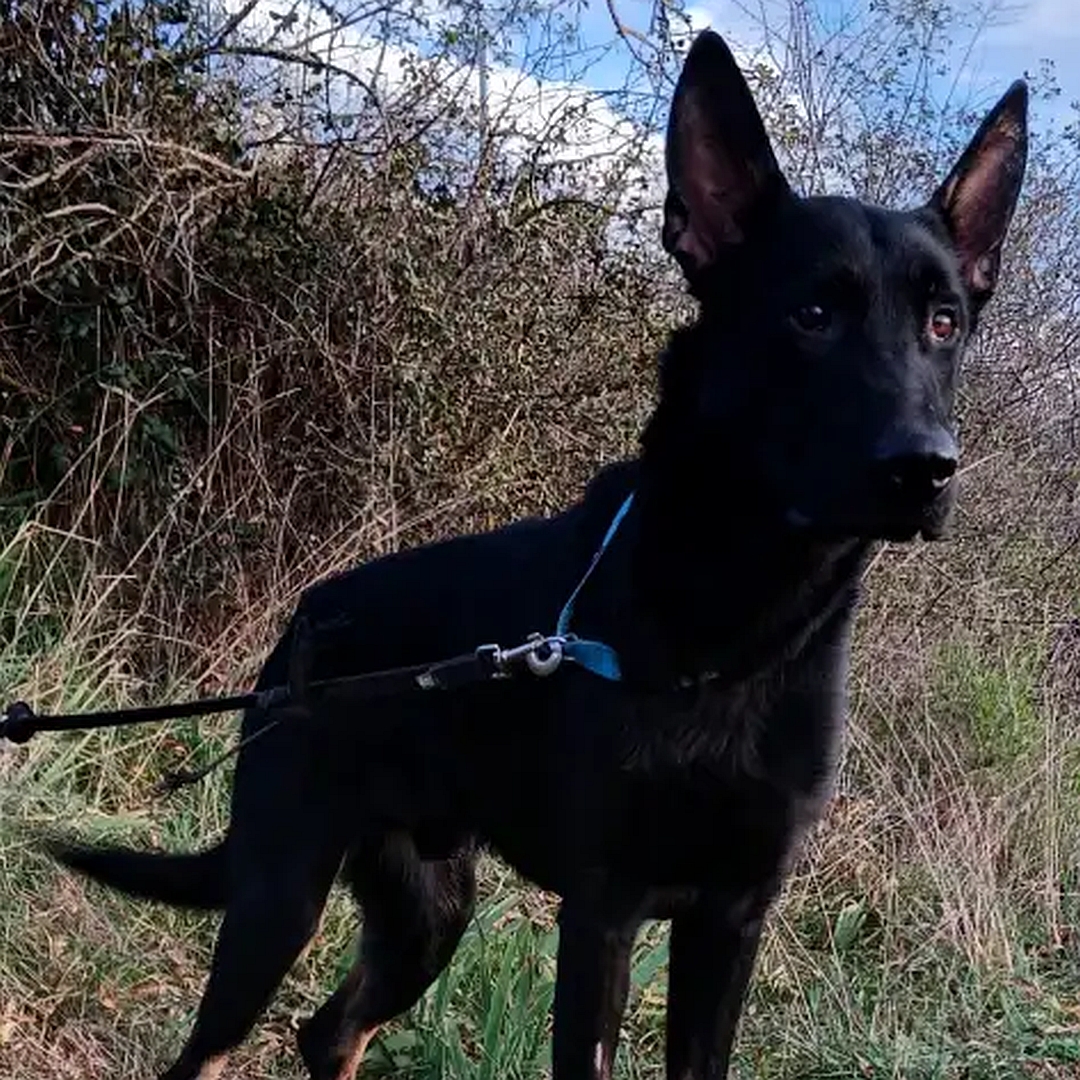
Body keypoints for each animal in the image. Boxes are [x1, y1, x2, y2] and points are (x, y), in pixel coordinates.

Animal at [46, 31, 1028, 1080]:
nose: (926, 467)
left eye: (943, 322)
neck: (735, 621)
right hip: (280, 897)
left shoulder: (732, 917)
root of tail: (306, 621)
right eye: (810, 315)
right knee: (215, 1046)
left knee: (331, 1029)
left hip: (429, 910)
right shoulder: (603, 913)